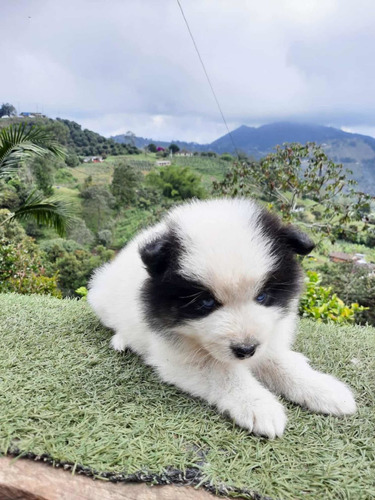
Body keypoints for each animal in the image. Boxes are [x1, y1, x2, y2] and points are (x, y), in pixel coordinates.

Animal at [87, 198, 356, 438]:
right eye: (206, 303)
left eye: (262, 296)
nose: (246, 350)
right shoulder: (178, 355)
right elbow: (223, 373)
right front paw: (259, 405)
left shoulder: (267, 338)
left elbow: (281, 364)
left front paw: (323, 389)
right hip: (103, 297)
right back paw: (122, 340)